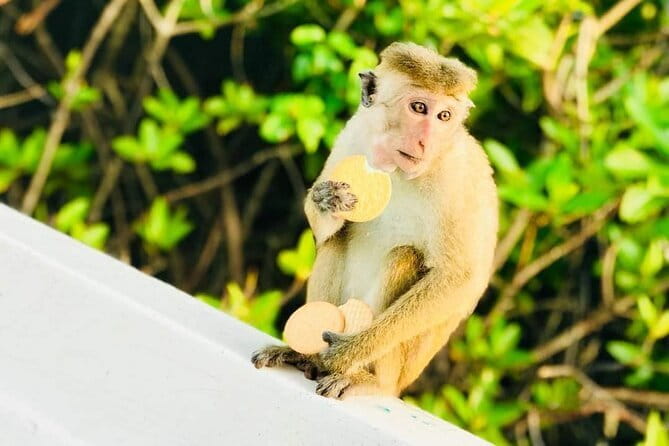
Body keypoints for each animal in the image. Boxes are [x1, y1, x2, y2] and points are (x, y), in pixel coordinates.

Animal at [252, 42, 498, 399]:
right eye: (419, 107)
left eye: (444, 116)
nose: (425, 141)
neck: (395, 168)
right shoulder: (355, 132)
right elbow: (327, 227)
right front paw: (326, 202)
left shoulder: (454, 176)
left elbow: (458, 278)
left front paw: (347, 353)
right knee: (337, 239)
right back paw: (305, 356)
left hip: (400, 368)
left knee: (404, 256)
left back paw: (362, 376)